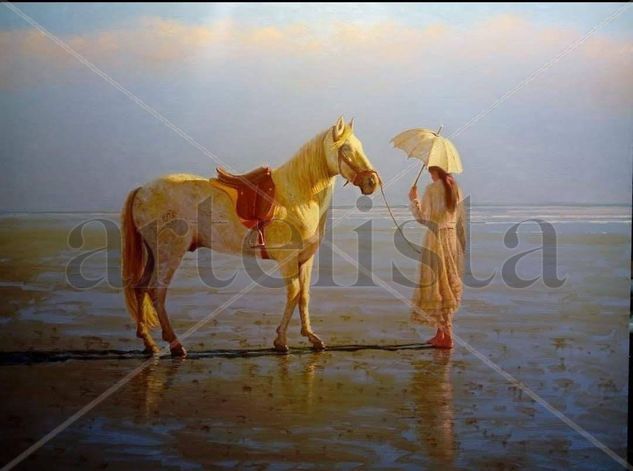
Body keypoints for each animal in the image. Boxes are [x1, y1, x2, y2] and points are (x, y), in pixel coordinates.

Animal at [121, 116, 378, 356]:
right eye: (346, 149)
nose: (372, 181)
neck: (297, 195)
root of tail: (142, 189)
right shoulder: (287, 261)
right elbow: (294, 293)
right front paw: (281, 341)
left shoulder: (305, 259)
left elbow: (304, 296)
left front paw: (312, 338)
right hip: (169, 253)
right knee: (157, 292)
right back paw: (175, 345)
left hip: (155, 254)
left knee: (141, 288)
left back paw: (150, 344)